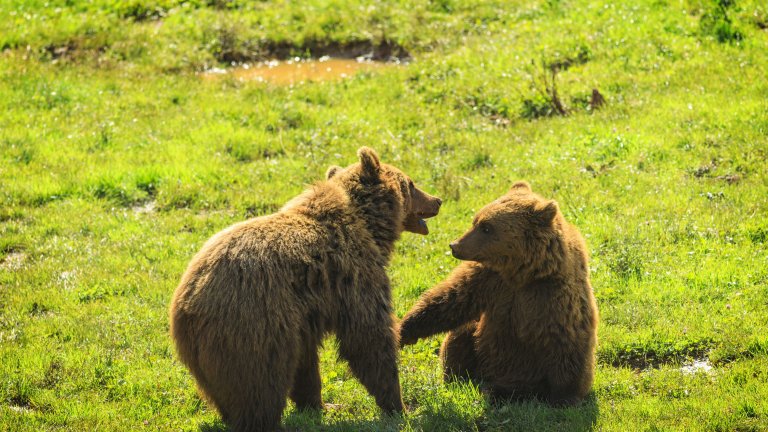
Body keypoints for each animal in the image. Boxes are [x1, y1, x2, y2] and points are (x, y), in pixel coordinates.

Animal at [170, 147, 440, 430]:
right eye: (411, 183)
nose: (437, 200)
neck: (369, 226)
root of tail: (188, 304)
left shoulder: (305, 315)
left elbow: (306, 363)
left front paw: (319, 404)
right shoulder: (353, 277)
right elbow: (369, 338)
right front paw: (399, 406)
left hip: (205, 358)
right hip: (251, 328)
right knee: (260, 386)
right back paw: (265, 421)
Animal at [400, 181, 596, 404]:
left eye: (487, 227)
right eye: (475, 221)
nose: (454, 246)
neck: (521, 272)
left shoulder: (550, 295)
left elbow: (565, 341)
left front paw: (564, 396)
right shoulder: (489, 278)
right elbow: (451, 298)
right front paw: (405, 330)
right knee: (460, 337)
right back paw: (461, 380)